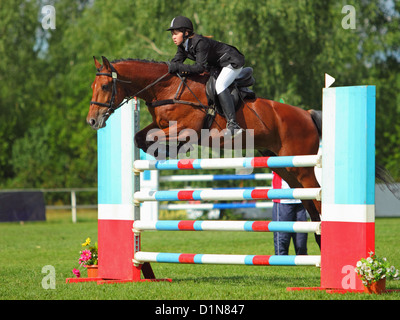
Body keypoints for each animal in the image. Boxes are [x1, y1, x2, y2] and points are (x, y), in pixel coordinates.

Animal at [86, 55, 322, 245]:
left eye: (105, 86)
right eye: (92, 86)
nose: (92, 121)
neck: (168, 88)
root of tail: (307, 114)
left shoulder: (185, 129)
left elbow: (159, 138)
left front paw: (173, 149)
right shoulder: (160, 125)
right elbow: (140, 138)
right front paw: (164, 152)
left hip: (303, 168)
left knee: (318, 198)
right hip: (286, 169)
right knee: (310, 204)